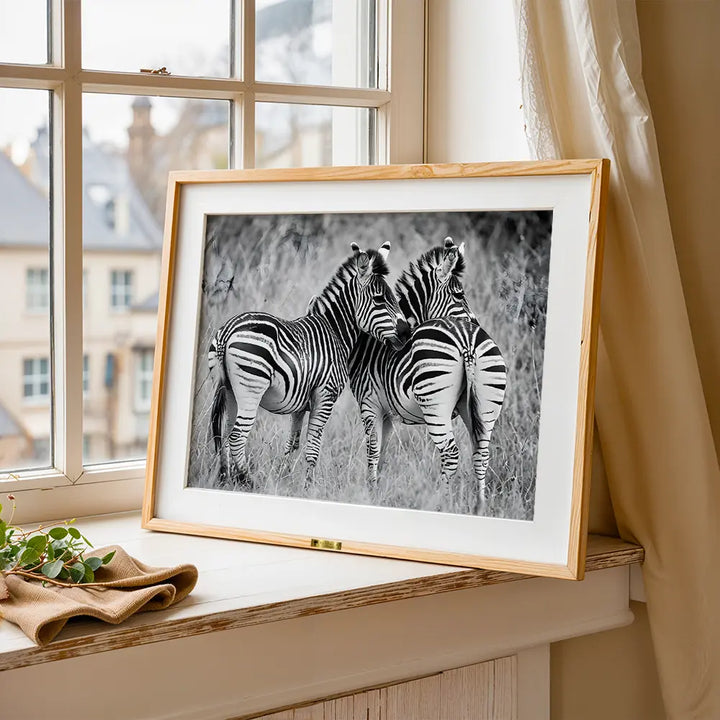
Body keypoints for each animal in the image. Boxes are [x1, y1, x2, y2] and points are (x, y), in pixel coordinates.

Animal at [208, 241, 410, 488]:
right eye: (379, 299)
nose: (407, 332)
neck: (336, 331)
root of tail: (227, 332)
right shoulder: (325, 395)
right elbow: (313, 446)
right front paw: (309, 486)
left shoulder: (300, 403)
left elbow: (293, 444)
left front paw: (284, 479)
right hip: (251, 388)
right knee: (237, 436)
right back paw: (247, 480)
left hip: (228, 390)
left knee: (225, 434)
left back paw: (225, 478)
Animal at [347, 238, 507, 512]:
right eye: (459, 295)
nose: (478, 324)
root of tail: (467, 340)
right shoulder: (387, 411)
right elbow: (383, 452)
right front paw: (378, 492)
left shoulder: (370, 404)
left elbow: (373, 451)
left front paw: (371, 492)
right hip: (485, 406)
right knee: (482, 453)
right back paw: (479, 507)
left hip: (436, 406)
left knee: (451, 454)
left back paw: (438, 502)